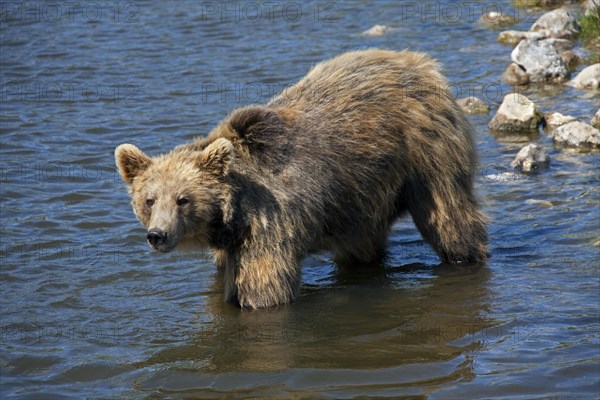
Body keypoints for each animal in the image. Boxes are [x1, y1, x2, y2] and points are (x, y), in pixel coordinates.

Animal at [116, 48, 488, 308]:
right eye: (149, 200)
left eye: (183, 199)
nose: (157, 235)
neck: (232, 218)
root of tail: (421, 63)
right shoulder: (234, 242)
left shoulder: (270, 222)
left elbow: (264, 288)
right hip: (360, 195)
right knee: (362, 242)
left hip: (426, 154)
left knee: (449, 217)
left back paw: (465, 255)